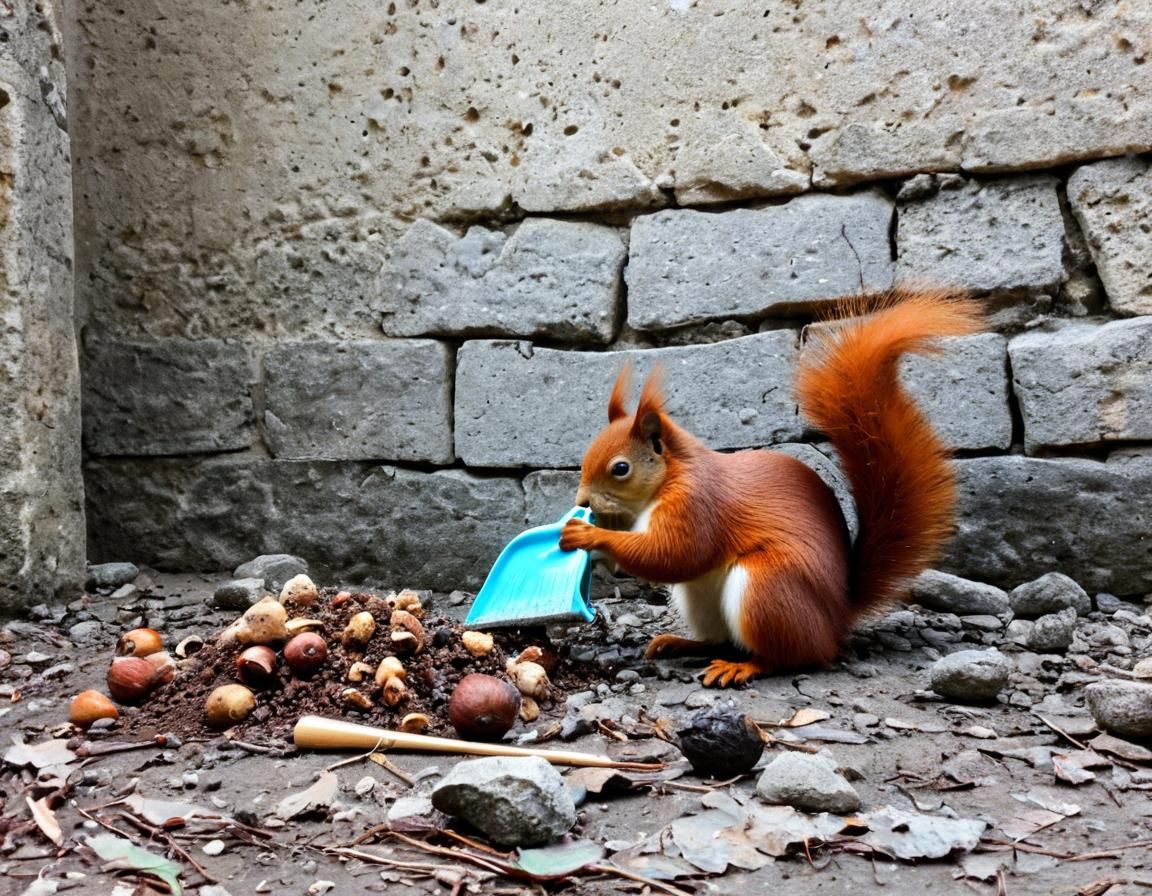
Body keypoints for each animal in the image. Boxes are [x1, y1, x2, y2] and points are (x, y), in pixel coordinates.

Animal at [559, 288, 983, 687]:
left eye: (621, 468)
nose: (581, 500)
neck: (666, 481)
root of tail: (836, 618)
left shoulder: (698, 504)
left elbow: (674, 554)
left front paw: (589, 535)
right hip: (701, 598)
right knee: (721, 639)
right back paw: (680, 643)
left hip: (768, 587)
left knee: (791, 657)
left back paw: (744, 666)